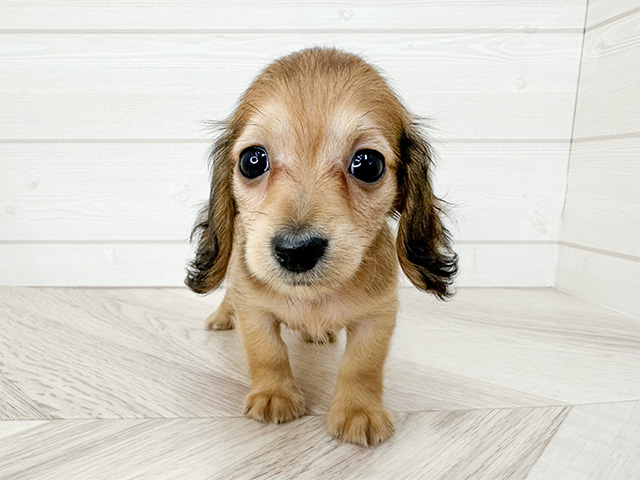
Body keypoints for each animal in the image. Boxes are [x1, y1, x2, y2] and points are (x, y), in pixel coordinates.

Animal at [184, 47, 456, 446]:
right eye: (252, 160)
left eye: (368, 164)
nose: (296, 251)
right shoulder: (254, 308)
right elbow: (268, 351)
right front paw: (274, 395)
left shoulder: (377, 316)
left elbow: (362, 365)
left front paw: (359, 411)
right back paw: (221, 317)